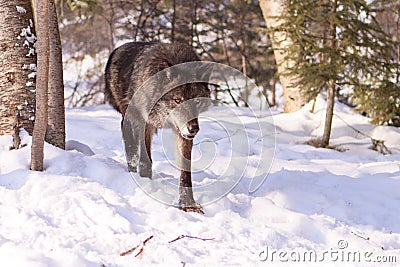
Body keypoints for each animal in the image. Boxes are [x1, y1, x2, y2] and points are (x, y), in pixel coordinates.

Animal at [104, 42, 211, 214]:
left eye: (197, 101)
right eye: (177, 100)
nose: (193, 129)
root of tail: (117, 49)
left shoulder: (182, 134)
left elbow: (185, 173)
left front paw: (188, 204)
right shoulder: (145, 124)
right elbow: (145, 161)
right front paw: (147, 187)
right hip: (128, 119)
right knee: (131, 148)